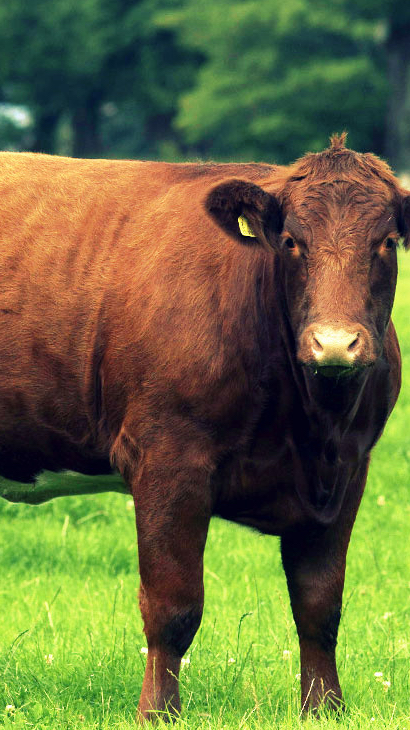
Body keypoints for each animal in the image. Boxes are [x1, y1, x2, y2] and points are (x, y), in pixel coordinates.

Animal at [0, 133, 408, 721]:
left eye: (386, 242)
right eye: (290, 242)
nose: (334, 343)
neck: (310, 428)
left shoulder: (348, 471)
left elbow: (320, 605)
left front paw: (325, 709)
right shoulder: (168, 459)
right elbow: (173, 606)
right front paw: (158, 713)